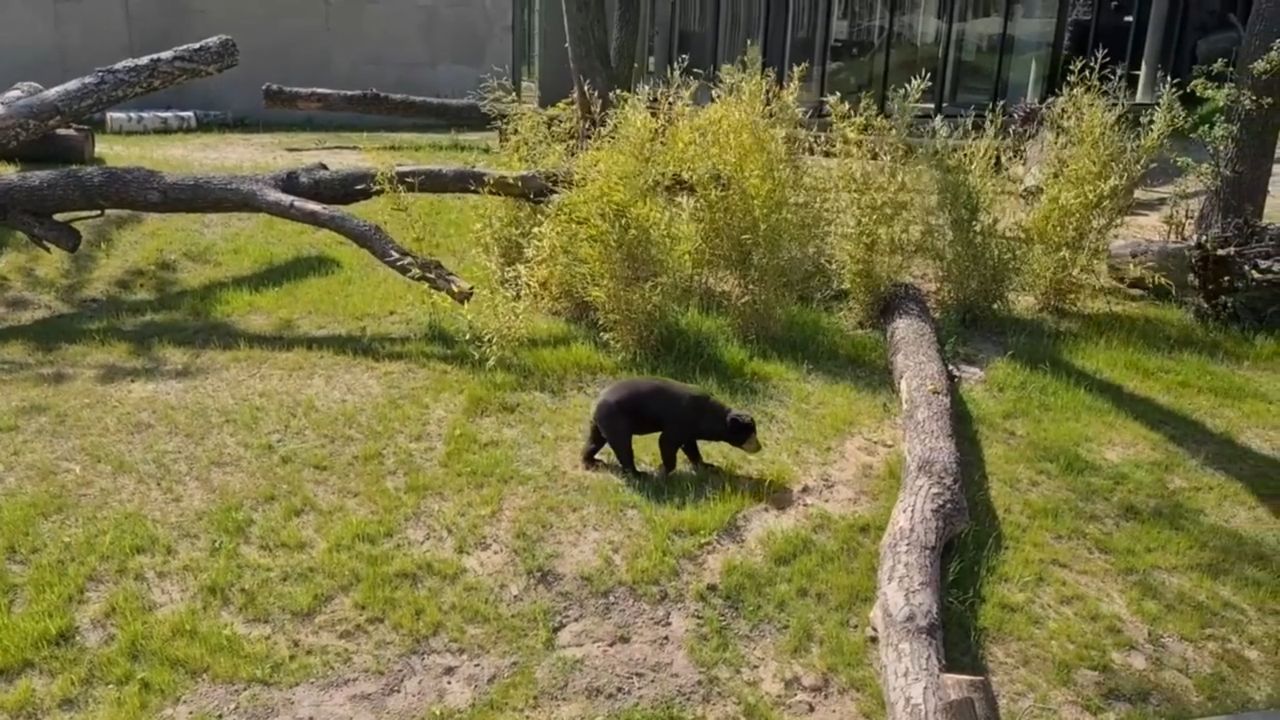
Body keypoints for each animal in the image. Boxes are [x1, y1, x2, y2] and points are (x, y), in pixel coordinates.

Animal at [583, 376, 757, 476]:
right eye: (749, 434)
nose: (759, 447)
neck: (707, 415)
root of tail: (596, 402)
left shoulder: (689, 430)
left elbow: (691, 447)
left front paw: (709, 466)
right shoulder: (680, 422)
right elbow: (666, 442)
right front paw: (662, 470)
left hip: (599, 424)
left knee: (594, 441)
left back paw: (592, 462)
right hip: (617, 421)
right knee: (623, 447)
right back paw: (638, 474)